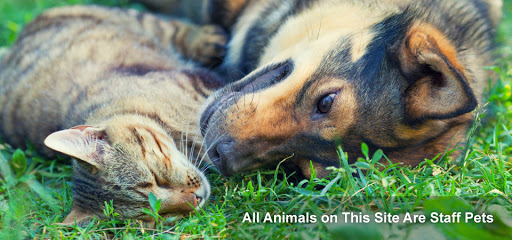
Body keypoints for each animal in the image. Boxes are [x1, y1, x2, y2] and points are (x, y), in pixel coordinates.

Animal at [0, 5, 226, 226]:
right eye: (157, 217)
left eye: (155, 179)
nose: (197, 199)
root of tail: (11, 50)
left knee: (171, 28)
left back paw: (209, 39)